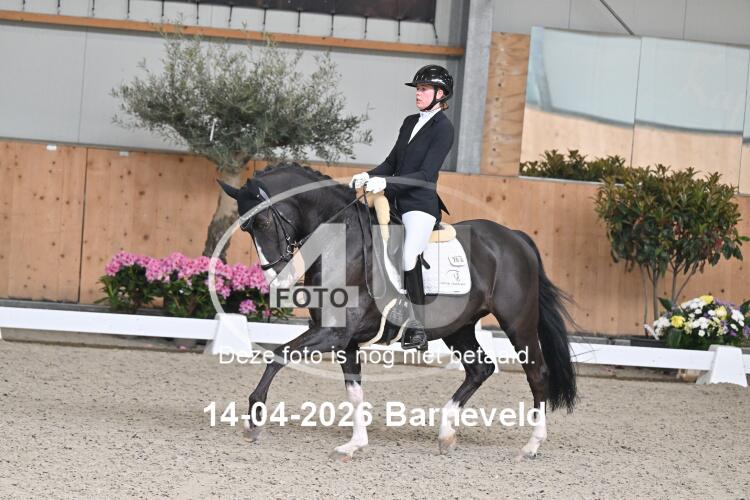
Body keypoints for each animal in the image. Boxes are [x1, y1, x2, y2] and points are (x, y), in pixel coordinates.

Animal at [218, 162, 577, 460]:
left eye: (263, 220)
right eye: (246, 228)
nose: (276, 279)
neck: (342, 243)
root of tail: (514, 238)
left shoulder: (332, 334)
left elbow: (277, 356)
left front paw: (253, 424)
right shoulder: (345, 341)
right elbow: (354, 392)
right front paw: (354, 444)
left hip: (518, 324)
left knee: (537, 374)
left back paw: (531, 446)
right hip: (459, 328)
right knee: (480, 369)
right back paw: (446, 434)